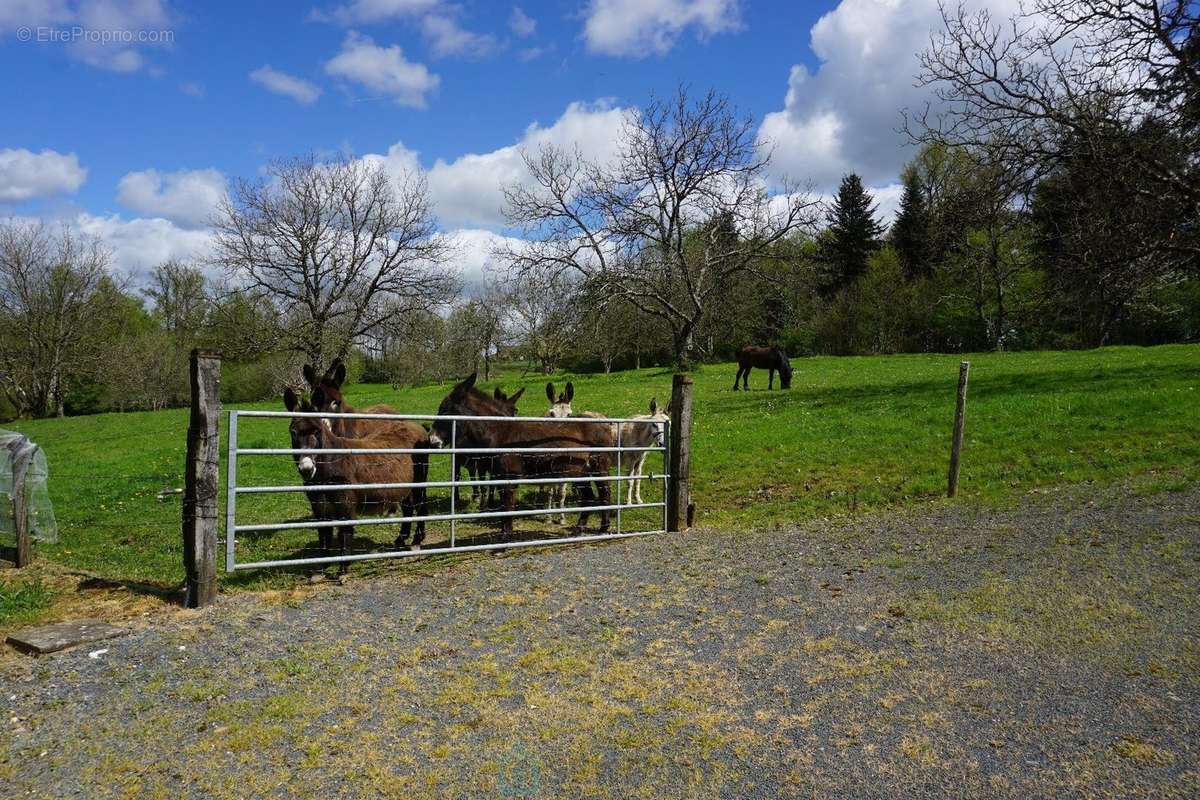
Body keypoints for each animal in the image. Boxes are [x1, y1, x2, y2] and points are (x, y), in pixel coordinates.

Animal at [283, 388, 429, 568]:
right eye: (293, 433)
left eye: (317, 431)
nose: (306, 469)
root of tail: (415, 425)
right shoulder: (319, 506)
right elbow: (323, 534)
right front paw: (322, 565)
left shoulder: (345, 503)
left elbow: (344, 533)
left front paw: (342, 568)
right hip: (403, 485)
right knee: (408, 508)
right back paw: (401, 539)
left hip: (419, 478)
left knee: (421, 506)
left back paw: (417, 541)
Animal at [429, 376, 614, 537]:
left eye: (445, 410)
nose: (432, 441)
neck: (499, 432)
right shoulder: (499, 477)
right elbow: (504, 507)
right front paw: (504, 535)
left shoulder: (509, 477)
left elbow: (507, 508)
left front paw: (504, 540)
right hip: (581, 471)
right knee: (588, 497)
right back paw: (580, 528)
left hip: (599, 466)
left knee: (605, 494)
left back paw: (603, 529)